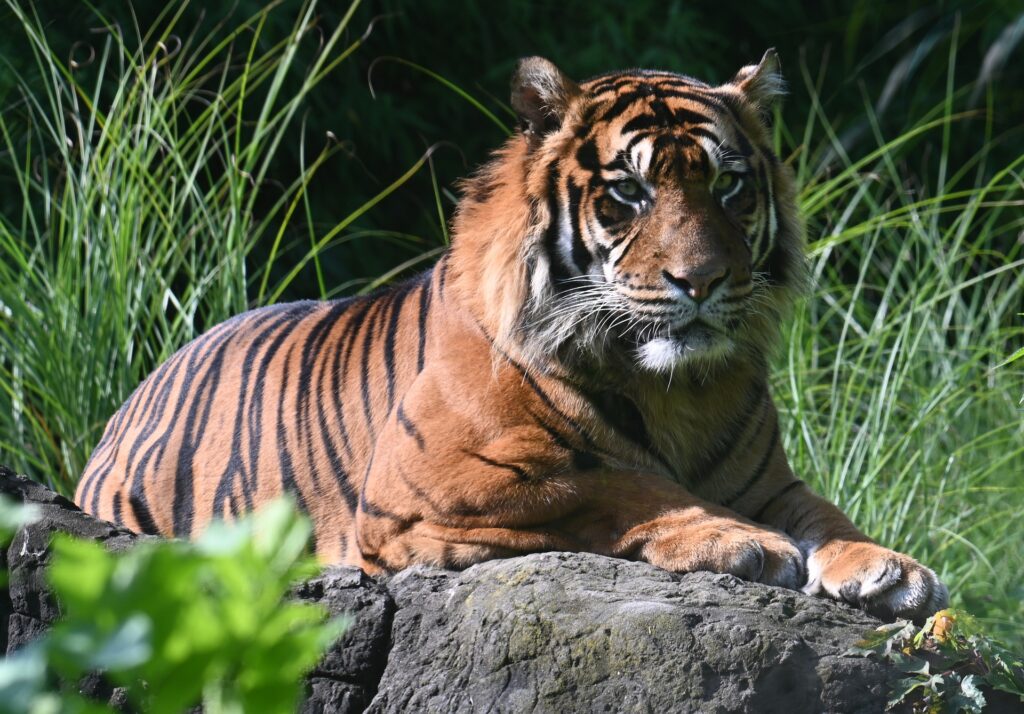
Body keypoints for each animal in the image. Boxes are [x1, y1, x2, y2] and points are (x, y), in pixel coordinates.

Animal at [76, 51, 948, 622]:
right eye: (629, 193)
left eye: (731, 186)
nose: (699, 281)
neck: (676, 389)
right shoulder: (433, 487)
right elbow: (615, 484)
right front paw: (742, 541)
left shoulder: (768, 479)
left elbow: (827, 513)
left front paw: (890, 568)